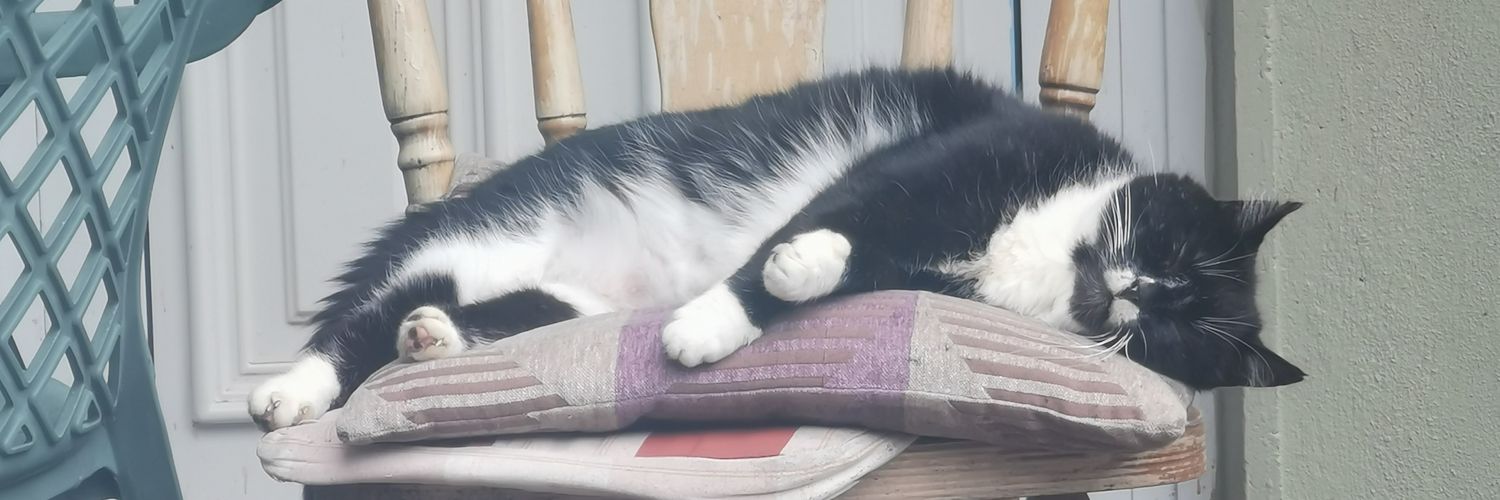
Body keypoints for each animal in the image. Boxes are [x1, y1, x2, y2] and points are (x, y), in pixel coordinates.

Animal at [249, 67, 1305, 431]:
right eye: (1170, 253)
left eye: (1180, 329)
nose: (1133, 294)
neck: (1054, 255)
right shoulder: (937, 163)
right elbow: (830, 222)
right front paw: (719, 319)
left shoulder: (927, 270)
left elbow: (857, 265)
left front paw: (775, 288)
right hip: (498, 229)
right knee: (361, 314)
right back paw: (289, 394)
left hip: (556, 295)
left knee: (453, 310)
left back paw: (435, 340)